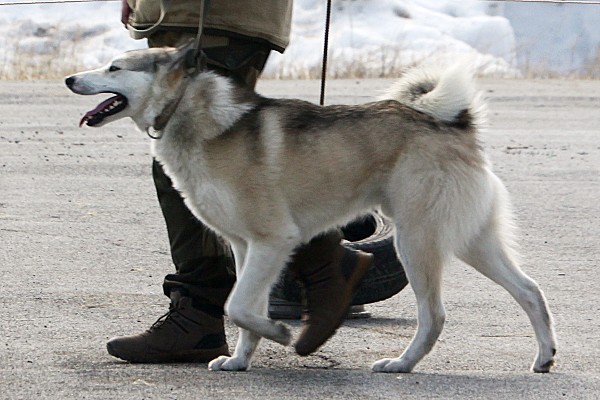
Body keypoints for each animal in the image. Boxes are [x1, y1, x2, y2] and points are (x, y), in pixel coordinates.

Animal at [65, 43, 556, 373]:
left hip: (415, 242)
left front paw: (281, 333)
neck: (193, 111)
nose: (70, 80)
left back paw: (401, 364)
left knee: (434, 316)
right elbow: (243, 311)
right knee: (531, 290)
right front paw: (240, 360)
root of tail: (451, 123)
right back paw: (545, 356)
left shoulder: (271, 242)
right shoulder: (246, 249)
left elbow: (238, 306)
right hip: (472, 243)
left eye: (114, 67)